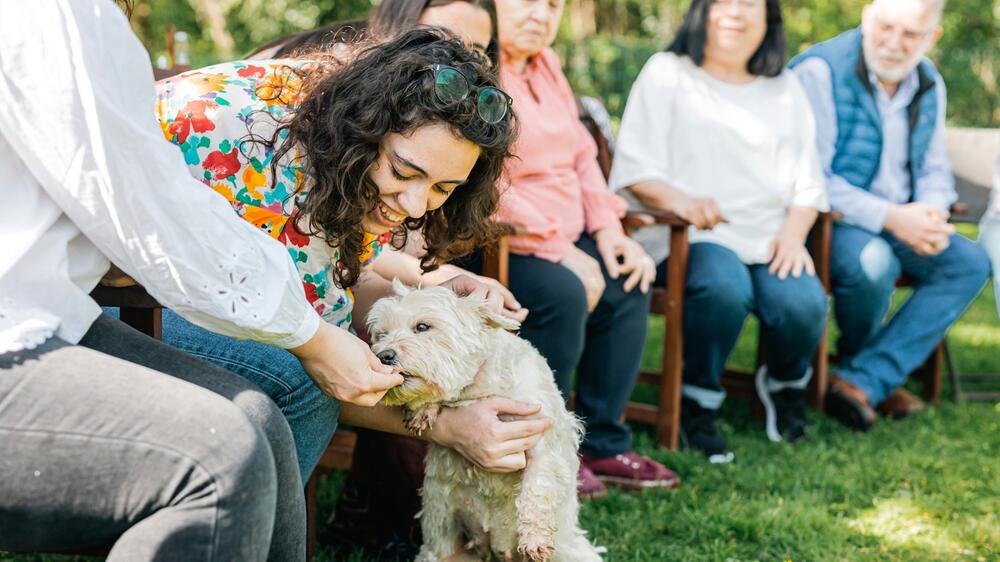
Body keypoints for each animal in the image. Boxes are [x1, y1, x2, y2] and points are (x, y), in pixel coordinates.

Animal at [368, 282, 600, 556]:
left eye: (422, 327)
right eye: (381, 334)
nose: (383, 356)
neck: (478, 389)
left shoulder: (543, 437)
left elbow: (538, 485)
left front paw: (535, 538)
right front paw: (425, 409)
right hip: (438, 550)